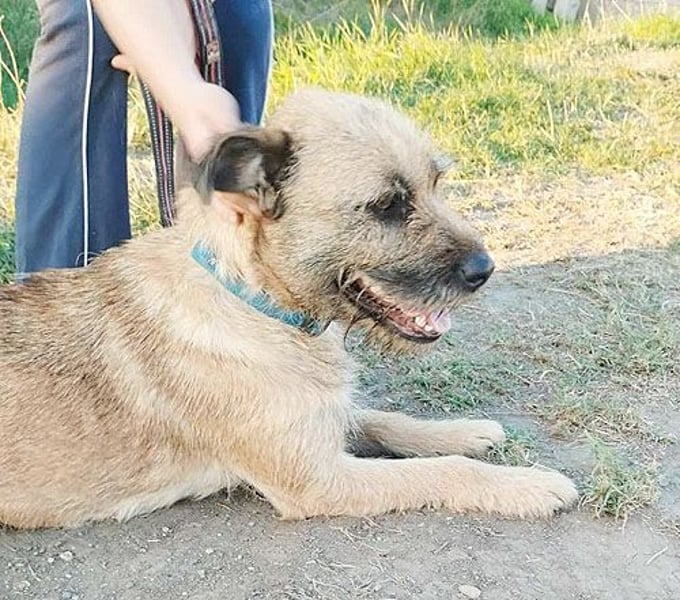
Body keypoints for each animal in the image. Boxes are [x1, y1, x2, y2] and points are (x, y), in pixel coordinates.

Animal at [0, 89, 577, 529]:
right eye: (387, 205)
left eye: (436, 183)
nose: (485, 269)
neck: (256, 301)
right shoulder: (320, 480)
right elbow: (444, 471)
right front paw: (527, 484)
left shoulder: (322, 424)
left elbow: (385, 419)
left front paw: (461, 431)